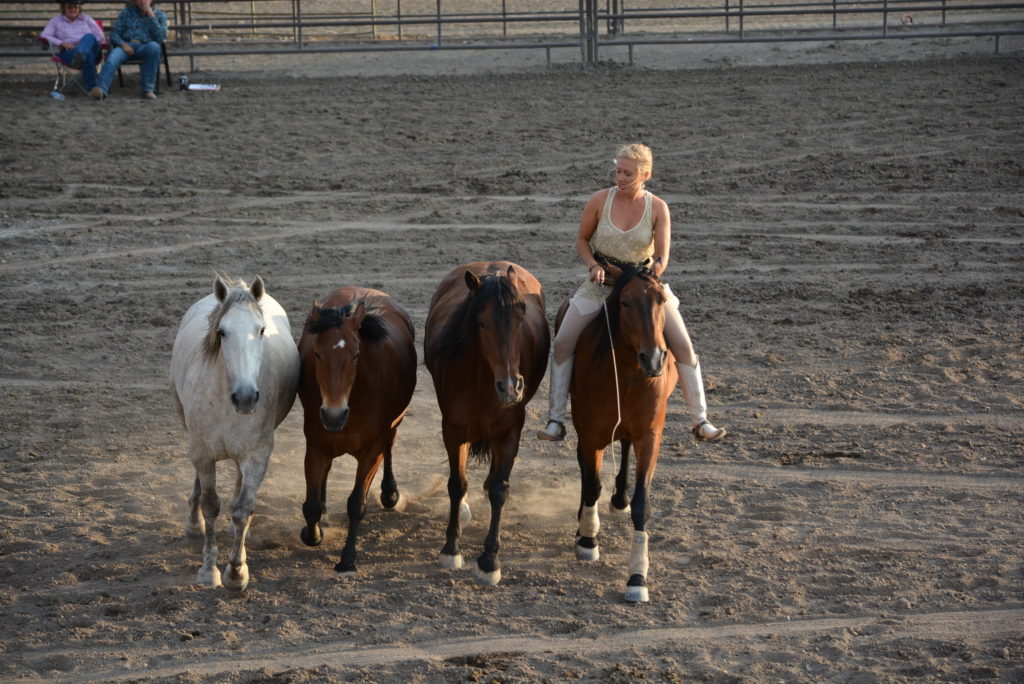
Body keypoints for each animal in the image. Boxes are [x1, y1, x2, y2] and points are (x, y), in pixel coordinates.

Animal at [169, 274, 299, 589]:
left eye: (261, 329)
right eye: (223, 332)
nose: (246, 397)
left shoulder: (258, 455)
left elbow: (243, 508)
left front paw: (237, 570)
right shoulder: (202, 453)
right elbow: (210, 505)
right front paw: (209, 569)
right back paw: (193, 525)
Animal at [299, 286, 417, 573]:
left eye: (355, 354)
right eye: (317, 353)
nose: (334, 414)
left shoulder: (371, 452)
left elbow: (356, 503)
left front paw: (347, 558)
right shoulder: (316, 445)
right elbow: (311, 505)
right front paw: (313, 533)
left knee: (391, 445)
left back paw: (389, 493)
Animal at [423, 264, 552, 589]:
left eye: (521, 317)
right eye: (481, 323)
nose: (510, 387)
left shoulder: (510, 432)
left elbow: (499, 489)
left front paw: (489, 561)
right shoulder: (453, 430)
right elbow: (457, 484)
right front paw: (451, 548)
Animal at [561, 262, 679, 602]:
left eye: (660, 300)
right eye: (625, 303)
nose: (654, 359)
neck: (627, 372)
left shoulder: (650, 436)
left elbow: (642, 504)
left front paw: (637, 577)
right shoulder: (591, 432)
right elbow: (591, 485)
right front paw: (587, 540)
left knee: (624, 448)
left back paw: (620, 498)